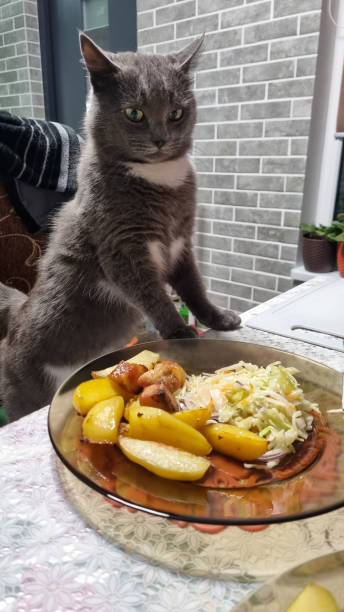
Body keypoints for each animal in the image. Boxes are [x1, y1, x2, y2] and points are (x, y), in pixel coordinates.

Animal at [0, 33, 241, 424]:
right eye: (134, 113)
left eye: (176, 112)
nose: (160, 138)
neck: (160, 179)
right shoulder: (122, 248)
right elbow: (153, 294)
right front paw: (180, 332)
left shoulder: (181, 241)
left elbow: (193, 286)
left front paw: (218, 319)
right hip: (26, 390)